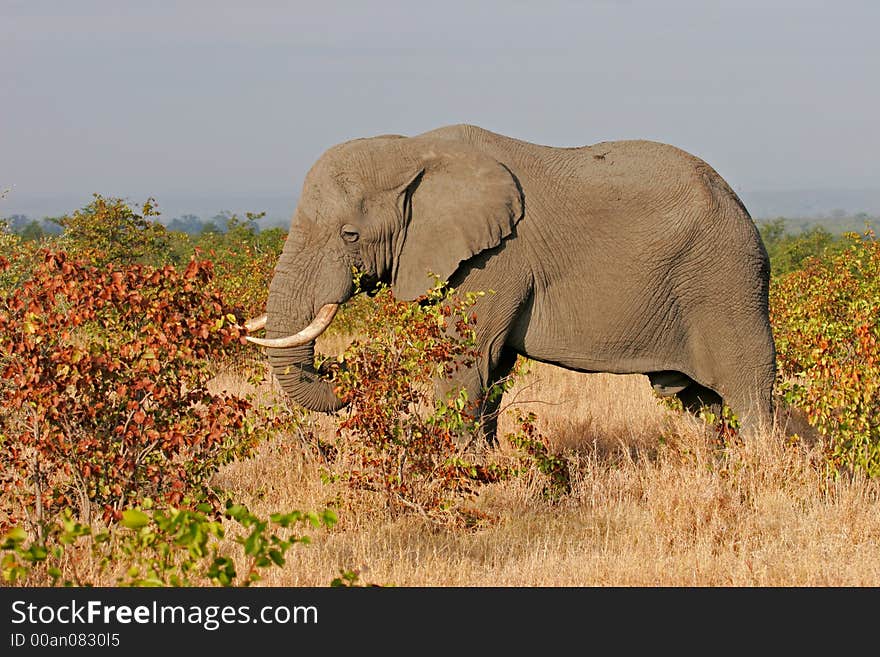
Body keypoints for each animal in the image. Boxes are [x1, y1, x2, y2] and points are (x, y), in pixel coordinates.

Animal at [246, 123, 776, 440]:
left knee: (748, 393)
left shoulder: (495, 261)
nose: (338, 369)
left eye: (349, 234)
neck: (412, 147)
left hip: (725, 280)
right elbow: (491, 372)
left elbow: (467, 365)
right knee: (702, 402)